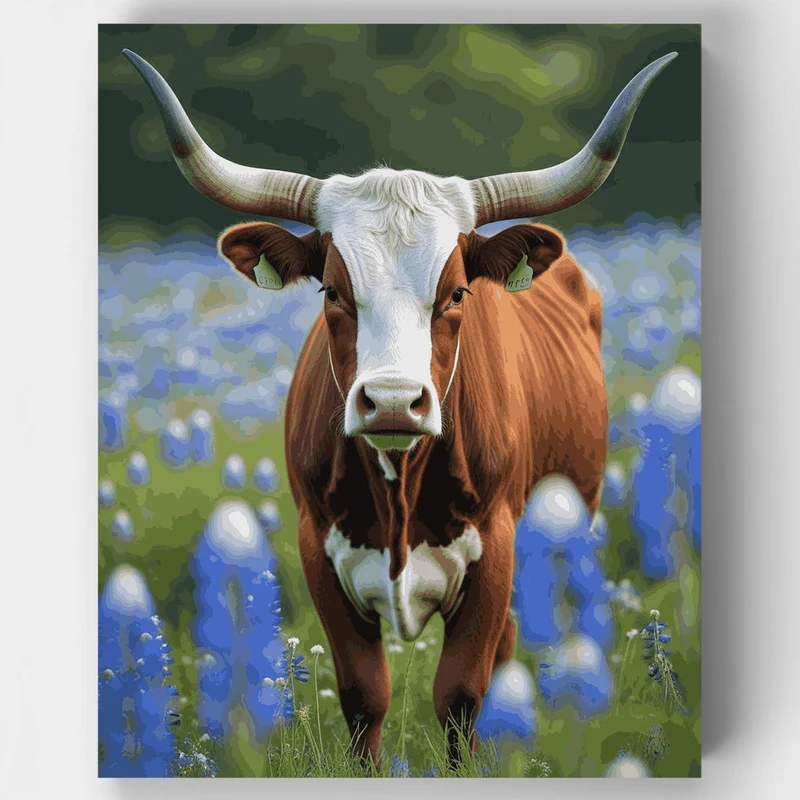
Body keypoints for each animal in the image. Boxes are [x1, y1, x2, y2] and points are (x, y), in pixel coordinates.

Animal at [124, 48, 676, 764]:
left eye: (457, 293)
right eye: (332, 291)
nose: (391, 402)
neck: (398, 489)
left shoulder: (496, 554)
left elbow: (463, 695)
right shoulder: (318, 553)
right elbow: (365, 696)